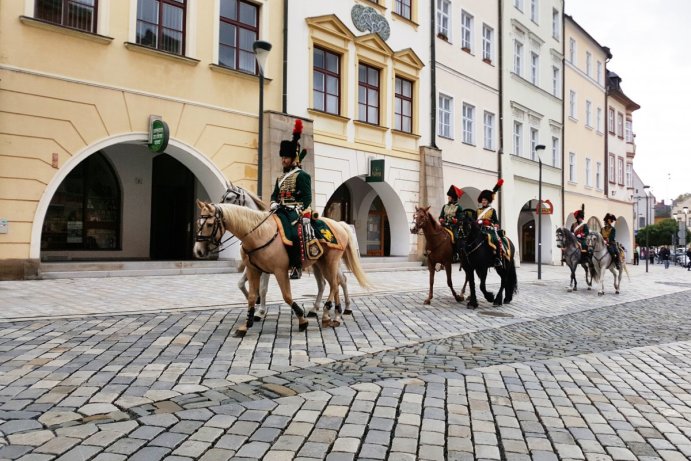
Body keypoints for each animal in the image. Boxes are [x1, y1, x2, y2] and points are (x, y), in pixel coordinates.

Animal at [192, 199, 370, 336]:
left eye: (209, 224)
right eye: (198, 222)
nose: (198, 251)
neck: (258, 233)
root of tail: (339, 224)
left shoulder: (279, 271)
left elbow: (286, 296)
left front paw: (301, 319)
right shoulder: (253, 270)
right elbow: (251, 295)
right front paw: (247, 323)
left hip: (331, 261)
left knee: (335, 284)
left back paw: (328, 314)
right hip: (321, 263)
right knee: (333, 283)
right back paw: (335, 314)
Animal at [220, 181, 352, 318]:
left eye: (229, 198)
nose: (219, 209)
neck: (260, 229)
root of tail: (339, 224)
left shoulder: (267, 268)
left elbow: (263, 288)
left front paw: (260, 311)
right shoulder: (253, 266)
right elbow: (240, 283)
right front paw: (254, 300)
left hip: (329, 262)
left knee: (339, 281)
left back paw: (343, 307)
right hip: (319, 264)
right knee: (327, 283)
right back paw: (320, 309)